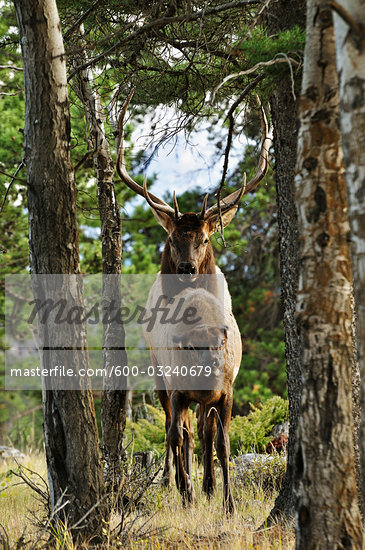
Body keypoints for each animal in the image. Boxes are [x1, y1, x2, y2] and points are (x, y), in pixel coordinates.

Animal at [116, 91, 270, 512]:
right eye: (172, 238)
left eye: (204, 238)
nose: (185, 268)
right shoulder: (175, 383)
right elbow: (176, 434)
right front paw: (185, 492)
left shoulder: (227, 388)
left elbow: (218, 439)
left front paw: (223, 497)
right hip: (159, 372)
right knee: (177, 430)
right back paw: (176, 483)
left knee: (199, 430)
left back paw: (206, 485)